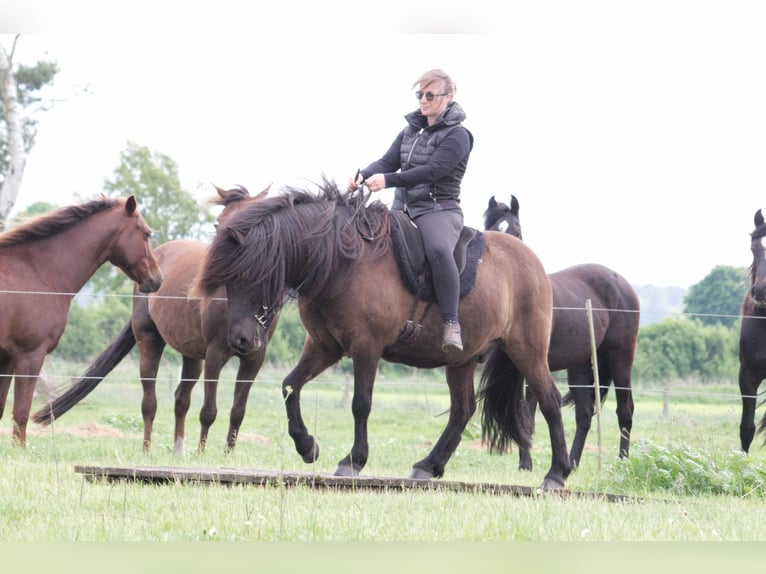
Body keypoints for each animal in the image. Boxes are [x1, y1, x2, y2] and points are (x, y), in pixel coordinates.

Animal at [1, 196, 164, 448]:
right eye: (146, 234)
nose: (157, 279)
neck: (37, 271)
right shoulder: (30, 356)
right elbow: (21, 412)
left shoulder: (7, 359)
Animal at [33, 184, 274, 454]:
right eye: (218, 224)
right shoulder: (215, 354)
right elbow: (208, 411)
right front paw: (202, 454)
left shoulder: (254, 359)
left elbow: (238, 412)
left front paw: (228, 454)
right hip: (150, 341)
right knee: (150, 402)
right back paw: (147, 448)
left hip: (192, 355)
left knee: (181, 399)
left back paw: (179, 451)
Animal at [195, 180, 572, 490]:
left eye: (253, 275)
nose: (241, 341)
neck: (342, 261)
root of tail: (533, 263)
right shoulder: (325, 346)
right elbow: (290, 386)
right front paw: (307, 446)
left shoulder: (366, 346)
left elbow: (360, 404)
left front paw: (353, 460)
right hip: (462, 359)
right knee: (463, 409)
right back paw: (428, 465)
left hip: (527, 351)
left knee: (550, 401)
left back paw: (557, 474)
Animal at [486, 196, 640, 470]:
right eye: (492, 227)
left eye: (516, 230)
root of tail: (621, 283)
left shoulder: (532, 365)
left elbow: (528, 412)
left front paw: (525, 463)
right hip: (579, 366)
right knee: (585, 414)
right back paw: (574, 462)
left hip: (621, 358)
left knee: (625, 410)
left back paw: (622, 461)